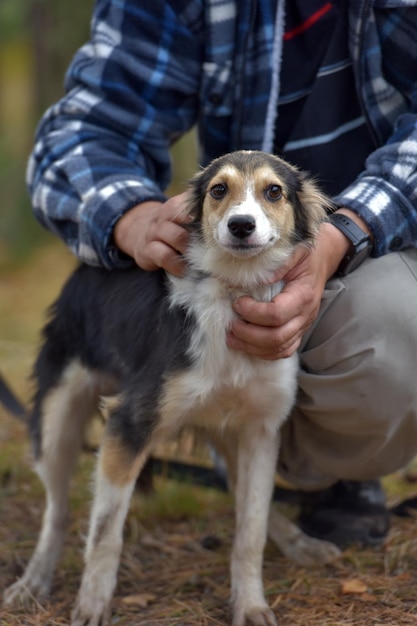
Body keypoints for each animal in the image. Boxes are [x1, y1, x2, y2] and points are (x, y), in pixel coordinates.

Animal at [3, 152, 338, 624]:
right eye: (219, 190)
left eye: (274, 191)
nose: (241, 225)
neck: (233, 294)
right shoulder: (128, 423)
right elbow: (105, 533)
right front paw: (92, 603)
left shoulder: (261, 431)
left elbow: (250, 529)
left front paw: (251, 604)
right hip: (56, 422)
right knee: (57, 511)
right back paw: (34, 580)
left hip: (226, 433)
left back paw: (298, 543)